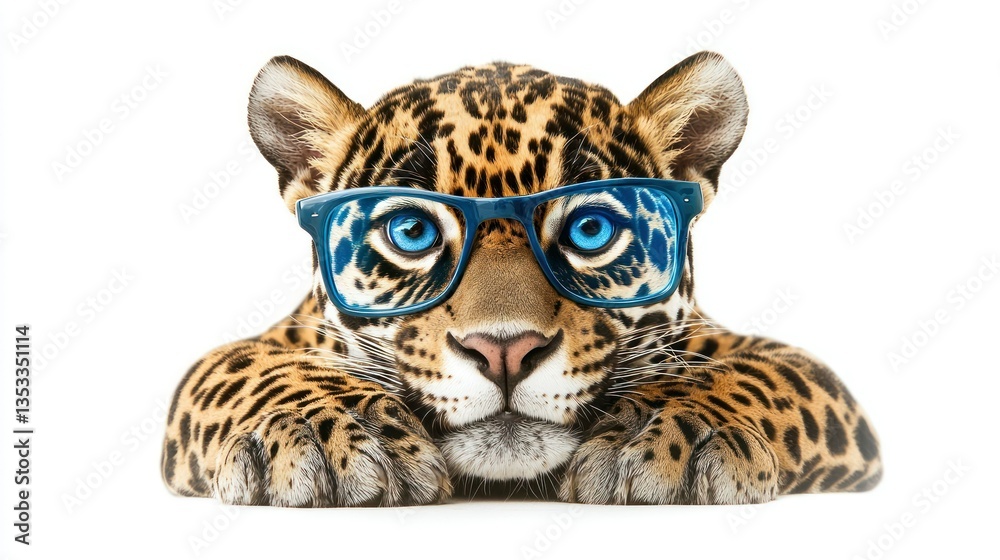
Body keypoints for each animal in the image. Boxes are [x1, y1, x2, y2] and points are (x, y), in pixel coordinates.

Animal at [161, 51, 882, 506]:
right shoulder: (253, 349)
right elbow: (250, 370)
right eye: (411, 231)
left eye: (591, 229)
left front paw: (673, 428)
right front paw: (325, 431)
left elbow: (759, 373)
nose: (503, 350)